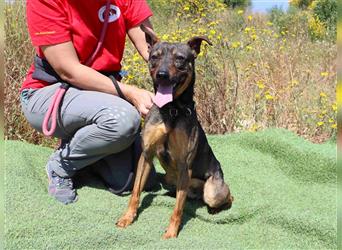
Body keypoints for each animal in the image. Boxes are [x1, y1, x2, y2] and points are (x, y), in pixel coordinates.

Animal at [116, 26, 234, 239]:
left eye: (180, 58)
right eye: (154, 57)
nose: (162, 74)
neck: (171, 110)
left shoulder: (184, 165)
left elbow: (178, 209)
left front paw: (171, 233)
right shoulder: (146, 155)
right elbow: (136, 192)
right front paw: (128, 217)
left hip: (211, 190)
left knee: (225, 196)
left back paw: (215, 208)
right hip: (172, 177)